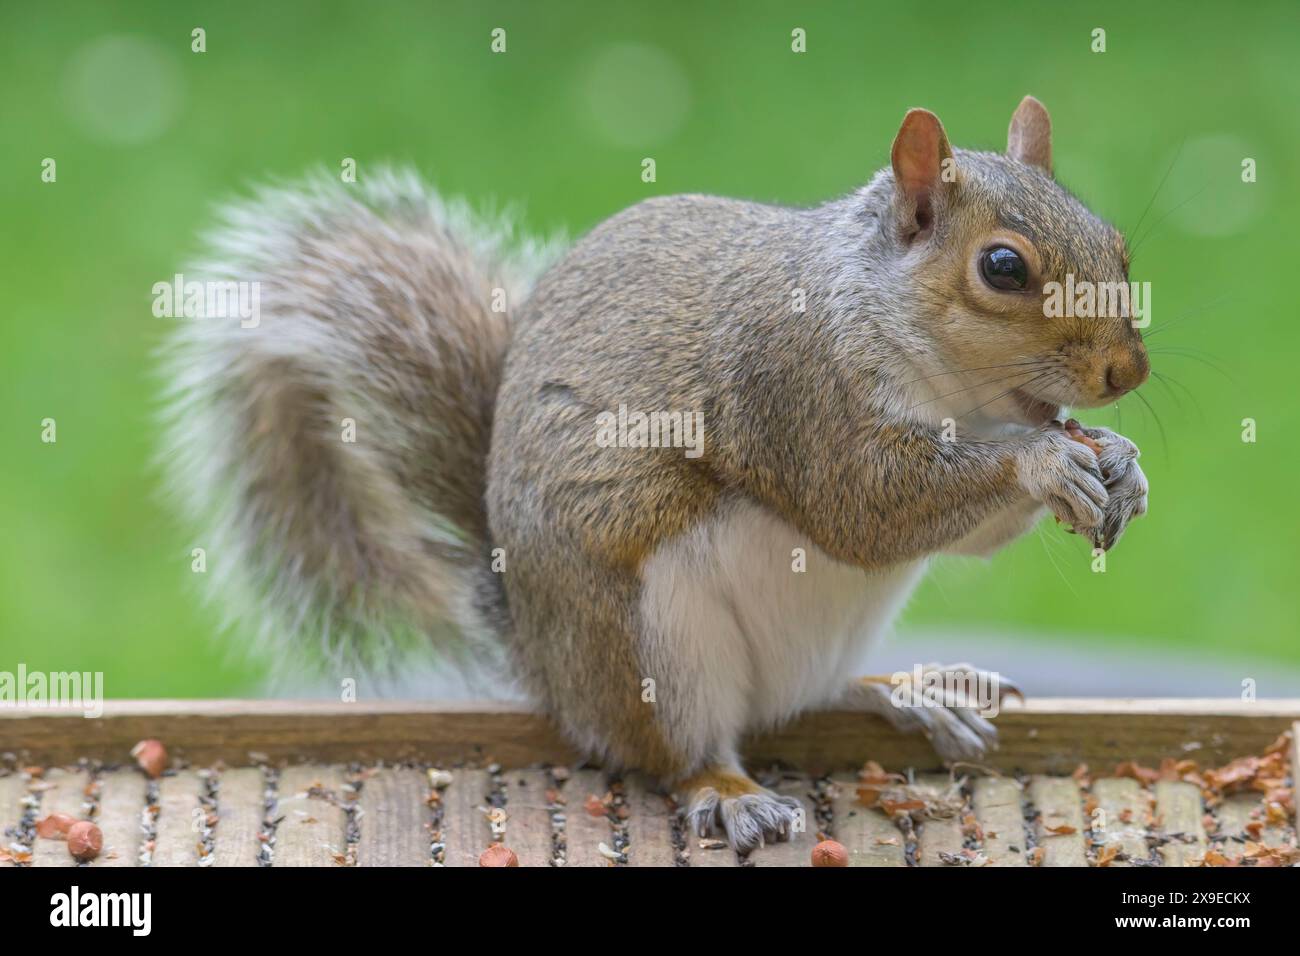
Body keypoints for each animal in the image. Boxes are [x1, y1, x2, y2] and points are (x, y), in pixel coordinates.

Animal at [162, 95, 1149, 842]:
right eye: (1002, 267)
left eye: (1119, 244)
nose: (1127, 374)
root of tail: (547, 664)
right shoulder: (794, 388)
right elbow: (865, 509)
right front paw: (1044, 462)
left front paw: (1122, 464)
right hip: (652, 640)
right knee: (679, 748)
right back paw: (732, 792)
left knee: (810, 695)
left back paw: (912, 690)